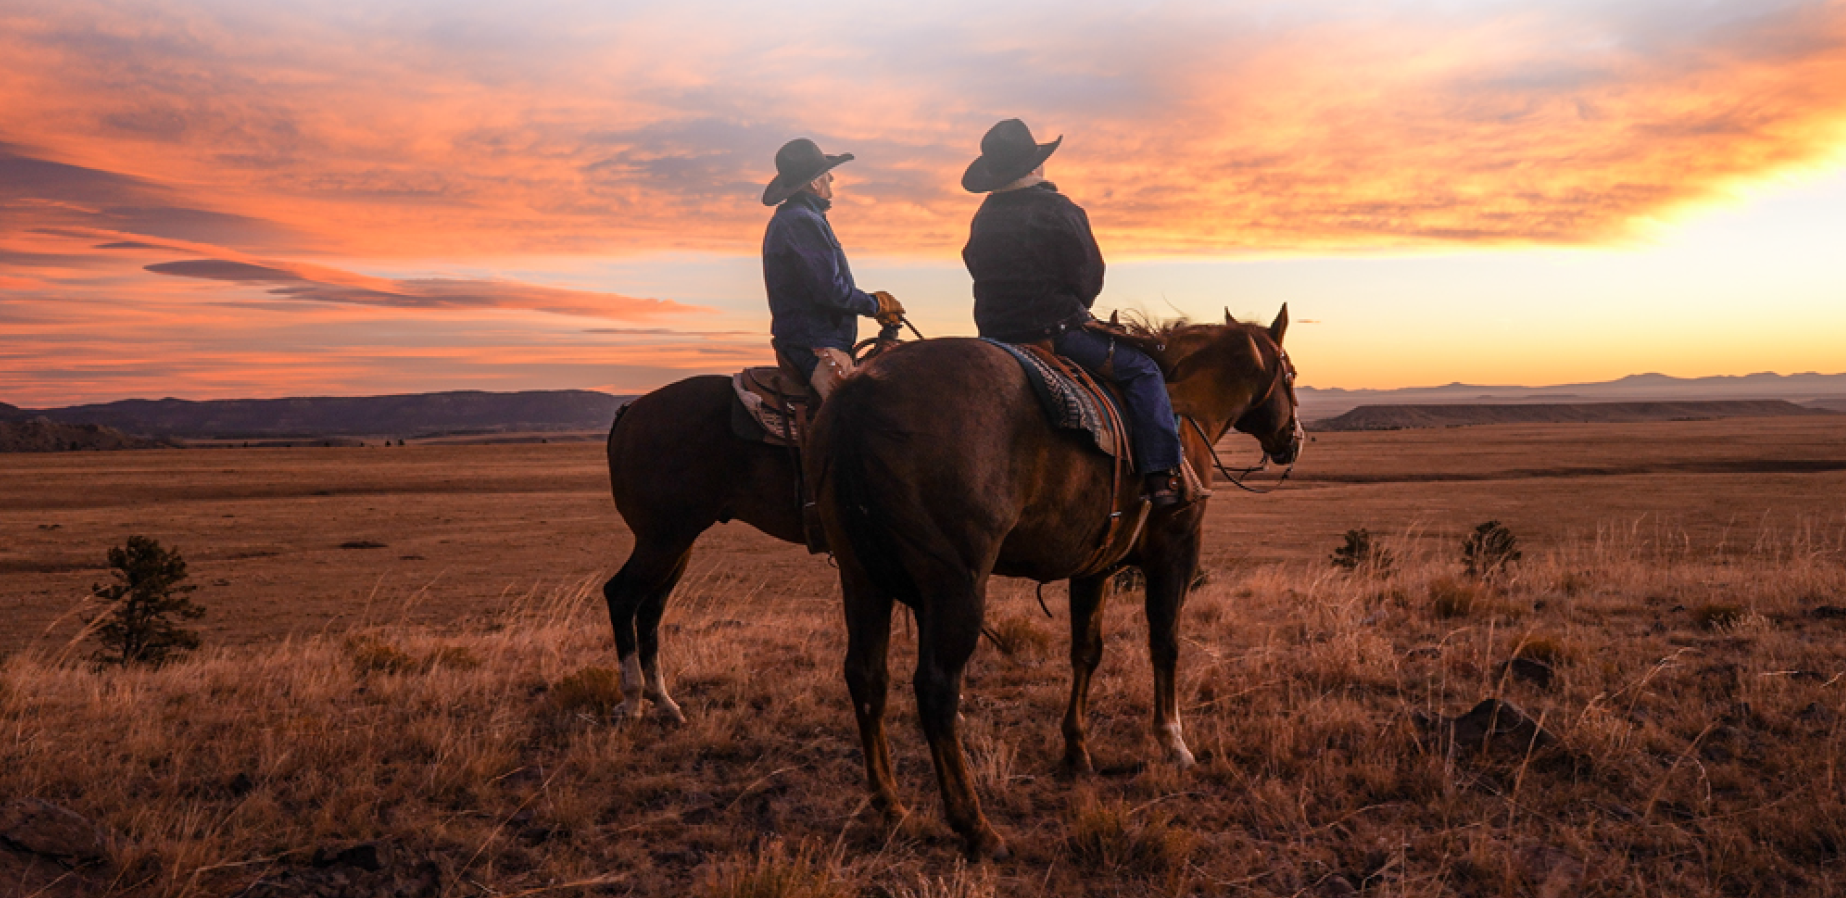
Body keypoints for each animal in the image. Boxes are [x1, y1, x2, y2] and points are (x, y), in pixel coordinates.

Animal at [804, 306, 1299, 857]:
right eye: (1292, 375)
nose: (1294, 440)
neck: (1185, 404)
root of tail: (860, 391)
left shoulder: (1094, 567)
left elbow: (1086, 651)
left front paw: (1077, 751)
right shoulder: (1177, 551)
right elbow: (1165, 643)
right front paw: (1174, 741)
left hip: (862, 578)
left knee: (867, 678)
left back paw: (891, 805)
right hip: (956, 588)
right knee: (935, 689)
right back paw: (975, 825)